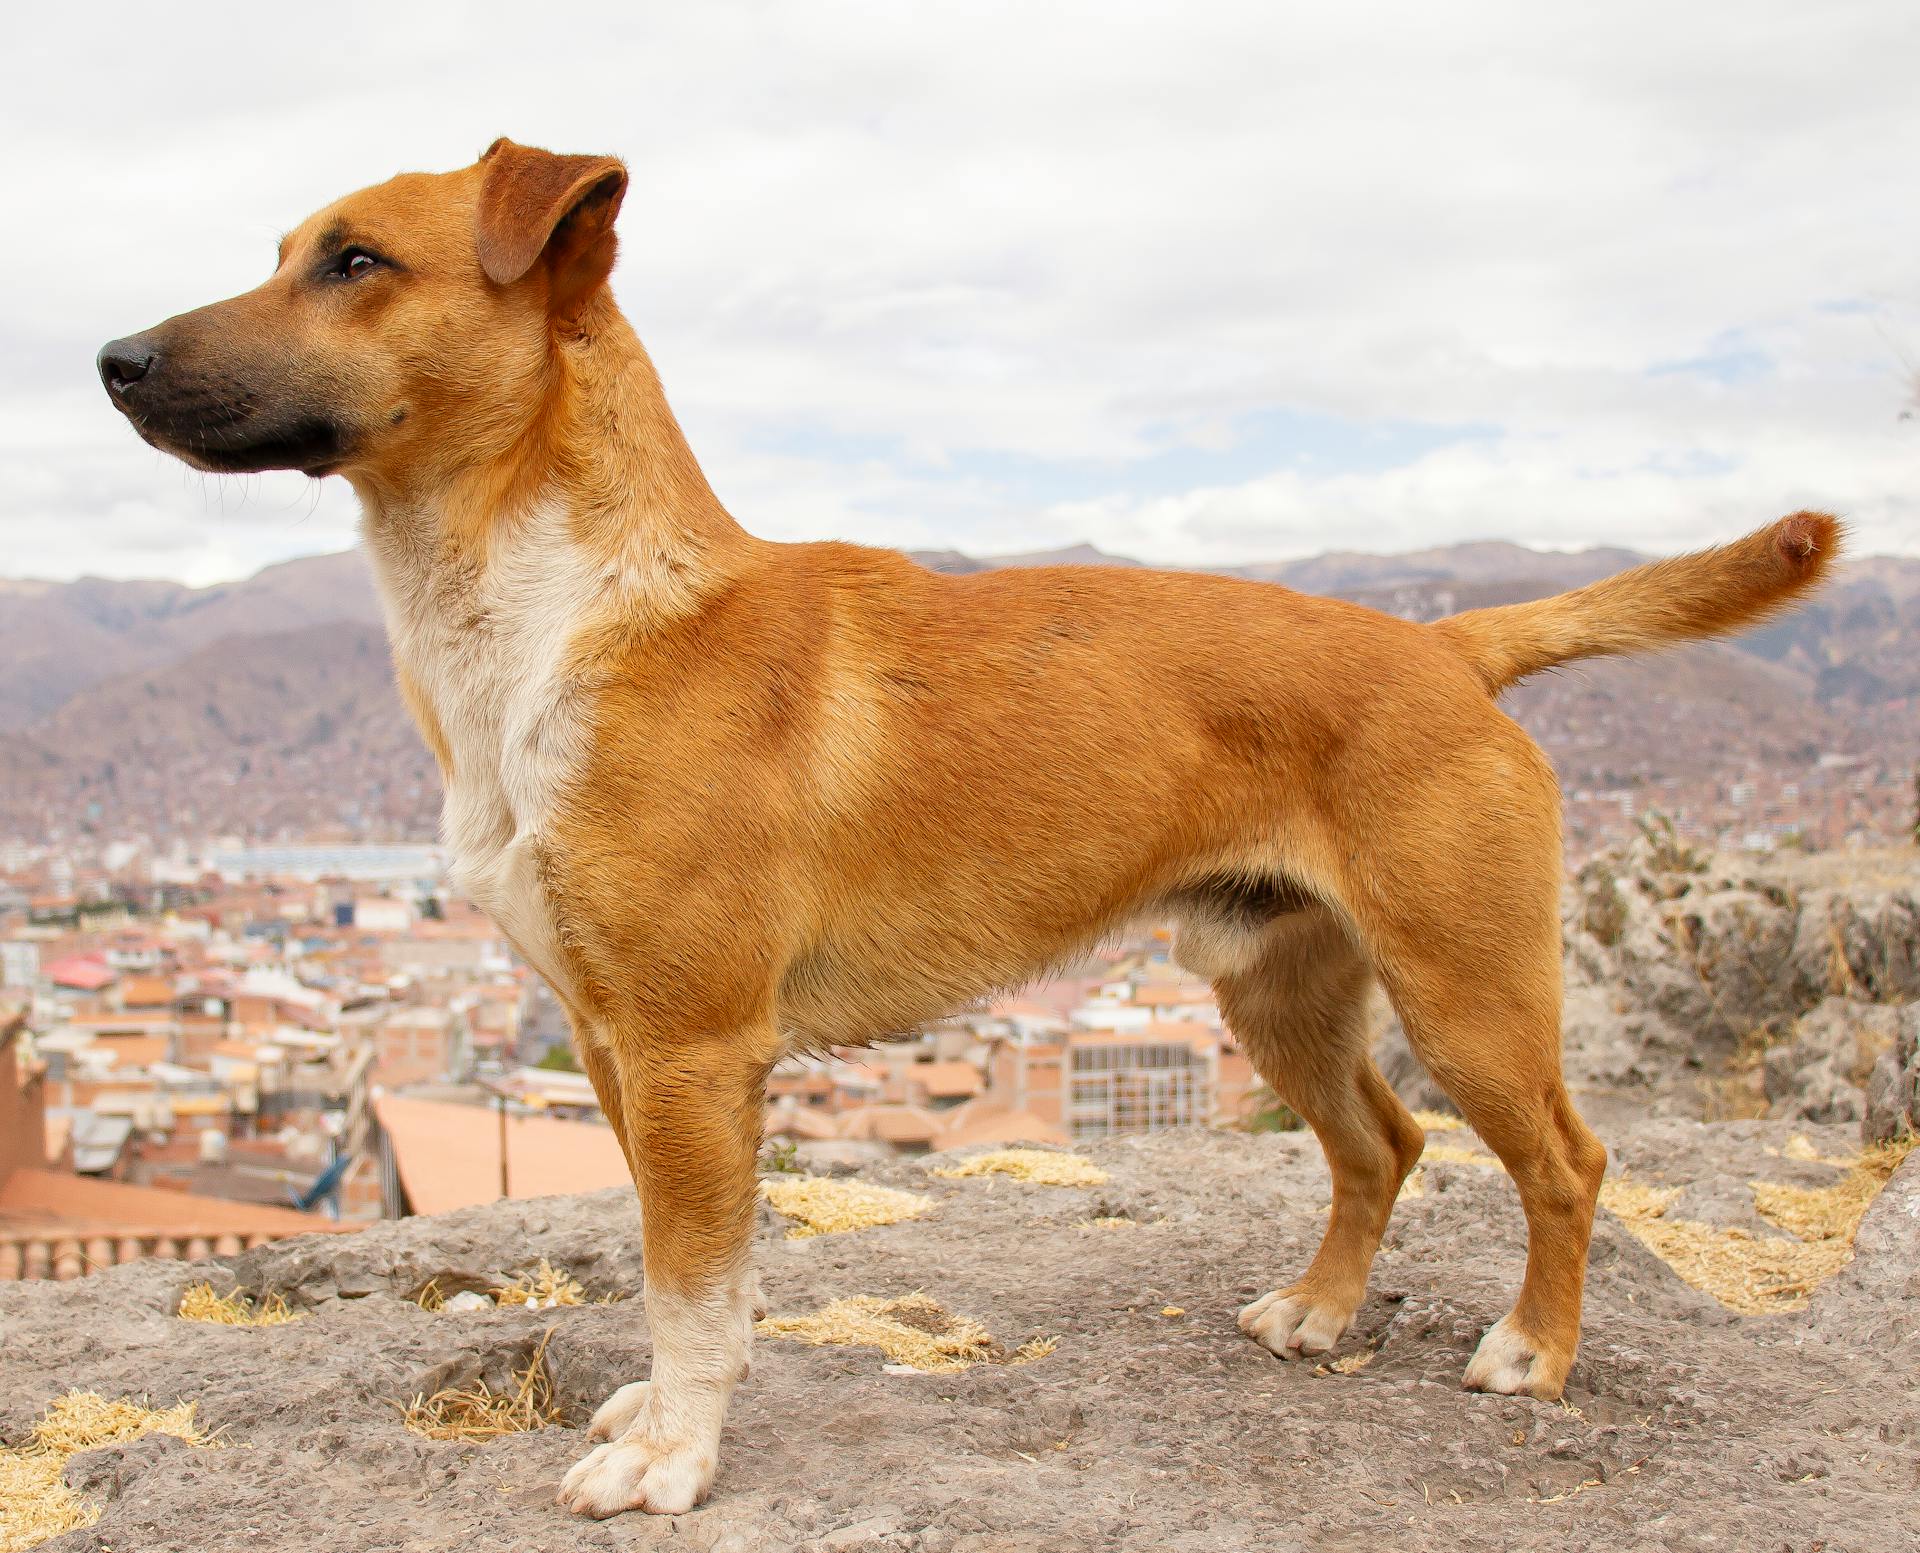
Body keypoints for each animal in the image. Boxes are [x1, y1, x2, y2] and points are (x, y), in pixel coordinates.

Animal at [101, 136, 1843, 1512]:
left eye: (356, 261)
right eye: (287, 250)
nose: (113, 357)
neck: (560, 616)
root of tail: (1447, 644)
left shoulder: (686, 1049)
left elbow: (689, 1278)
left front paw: (674, 1457)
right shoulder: (606, 1042)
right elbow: (696, 1276)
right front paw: (673, 1409)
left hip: (1468, 991)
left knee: (1567, 1159)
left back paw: (1534, 1351)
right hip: (1281, 989)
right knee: (1381, 1142)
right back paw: (1320, 1312)